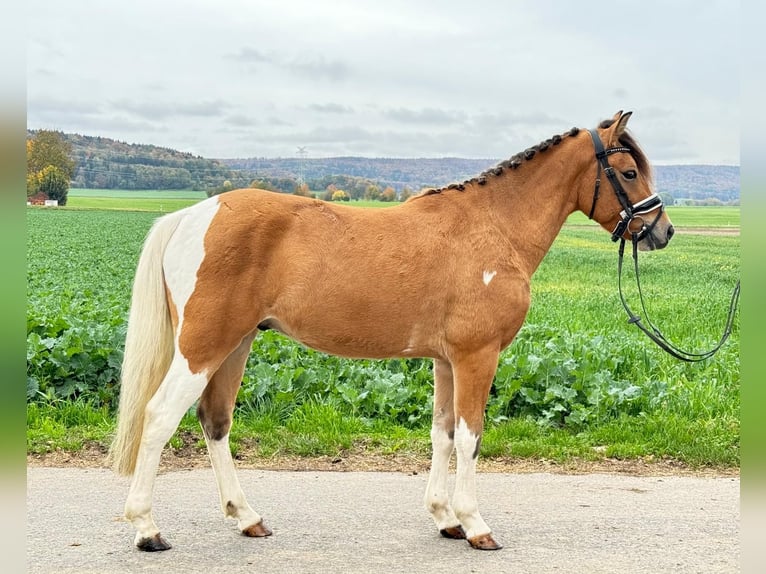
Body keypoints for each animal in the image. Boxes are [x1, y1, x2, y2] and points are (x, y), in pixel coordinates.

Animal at [111, 110, 676, 556]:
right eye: (629, 171)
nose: (662, 231)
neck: (493, 227)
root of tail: (192, 214)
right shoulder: (477, 356)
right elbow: (470, 436)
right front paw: (475, 525)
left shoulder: (446, 361)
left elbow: (442, 433)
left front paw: (445, 518)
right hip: (203, 347)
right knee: (159, 417)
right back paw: (147, 529)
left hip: (236, 344)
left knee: (215, 421)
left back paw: (247, 517)